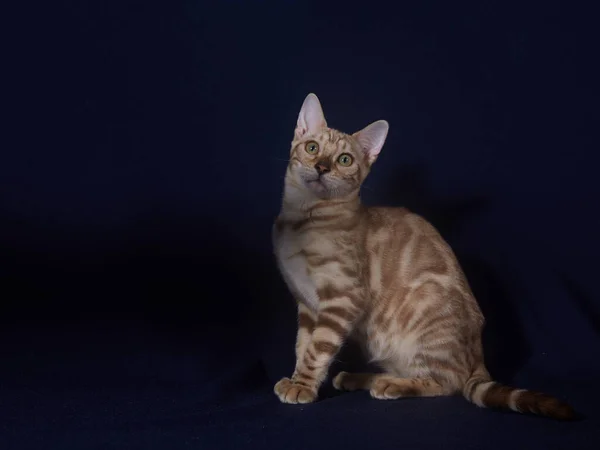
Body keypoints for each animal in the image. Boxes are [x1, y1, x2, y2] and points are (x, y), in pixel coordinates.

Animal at [272, 93, 576, 420]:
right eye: (312, 148)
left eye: (344, 160)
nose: (322, 167)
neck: (300, 220)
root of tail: (478, 358)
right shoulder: (306, 305)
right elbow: (303, 346)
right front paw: (297, 380)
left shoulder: (343, 297)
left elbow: (318, 348)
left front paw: (302, 386)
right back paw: (358, 378)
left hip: (424, 321)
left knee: (446, 383)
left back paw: (389, 385)